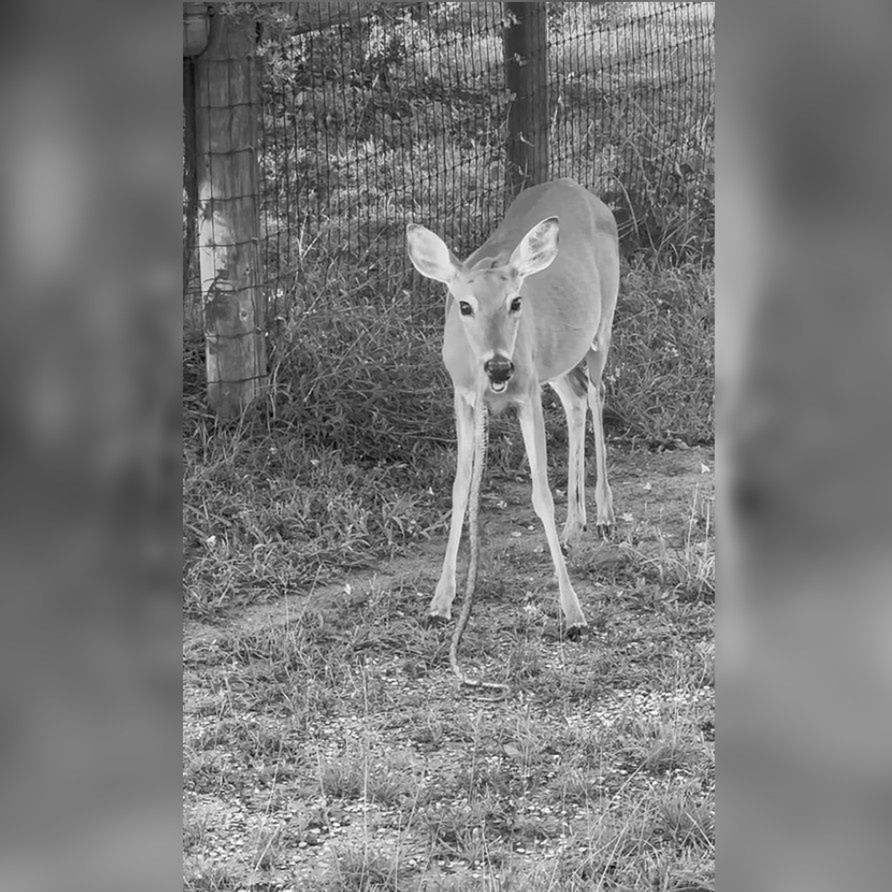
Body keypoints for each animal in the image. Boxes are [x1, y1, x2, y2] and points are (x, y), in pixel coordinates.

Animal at [406, 179, 620, 640]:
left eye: (515, 302)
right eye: (464, 305)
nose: (500, 366)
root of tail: (578, 187)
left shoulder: (526, 394)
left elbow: (540, 495)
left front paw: (574, 614)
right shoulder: (464, 396)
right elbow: (459, 488)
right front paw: (440, 603)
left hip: (602, 325)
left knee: (597, 393)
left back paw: (604, 515)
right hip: (554, 361)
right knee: (576, 398)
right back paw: (573, 528)